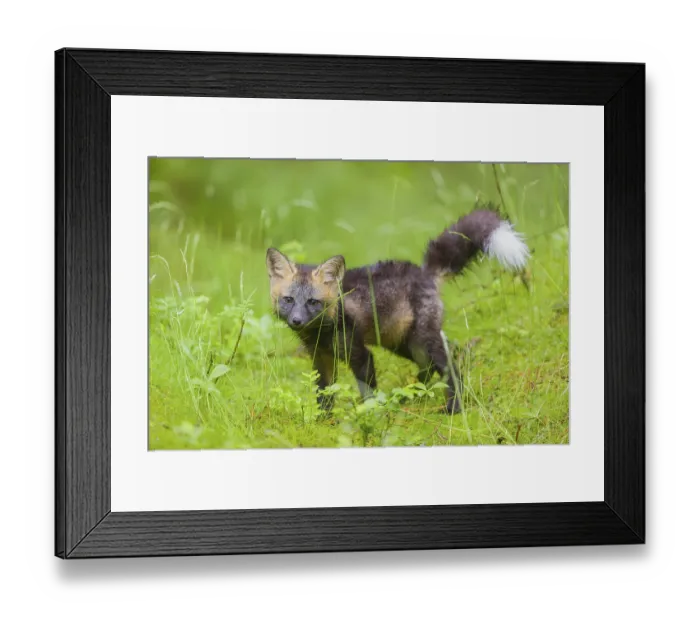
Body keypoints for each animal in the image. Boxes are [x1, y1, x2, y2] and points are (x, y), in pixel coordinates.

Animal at [265, 203, 530, 414]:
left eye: (313, 302)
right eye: (288, 300)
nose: (297, 321)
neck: (322, 332)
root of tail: (423, 271)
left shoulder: (361, 355)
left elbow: (367, 394)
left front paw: (370, 418)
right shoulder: (321, 359)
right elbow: (324, 398)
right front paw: (324, 424)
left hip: (422, 339)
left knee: (452, 367)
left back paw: (453, 408)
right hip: (402, 343)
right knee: (432, 366)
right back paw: (415, 395)